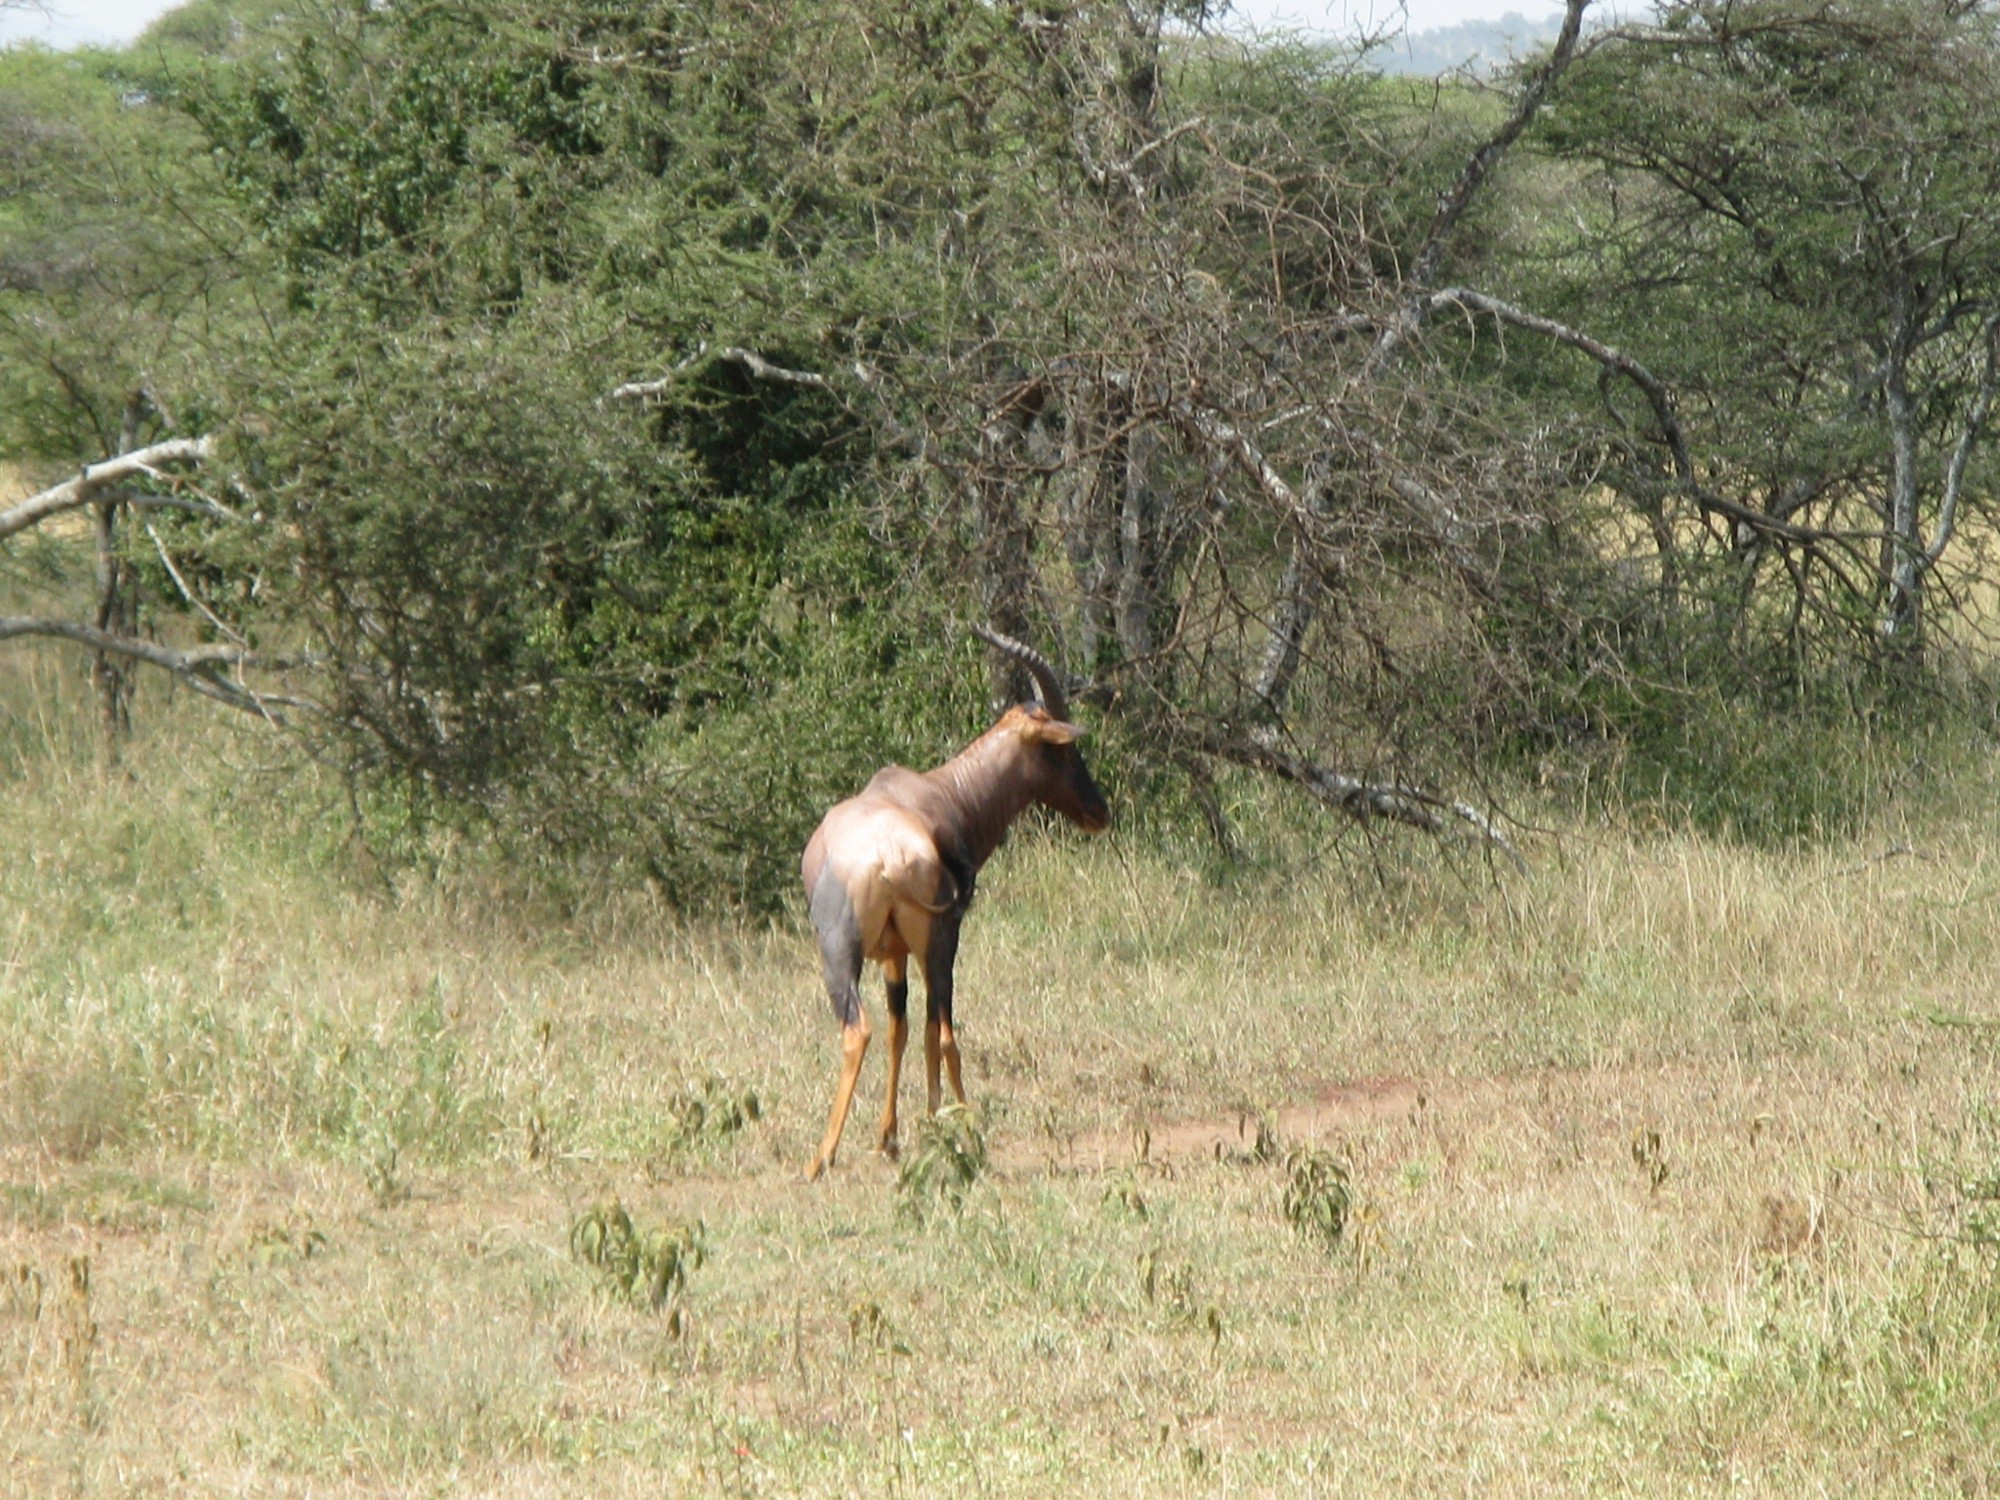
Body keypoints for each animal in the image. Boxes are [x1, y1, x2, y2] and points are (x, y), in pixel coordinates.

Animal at [796, 628, 1112, 1184]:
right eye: (1064, 748)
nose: (1100, 812)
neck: (934, 791)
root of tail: (889, 856)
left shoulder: (896, 953)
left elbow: (901, 1030)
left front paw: (891, 1138)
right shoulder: (927, 942)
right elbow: (918, 1030)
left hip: (863, 951)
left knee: (881, 1030)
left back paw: (832, 1153)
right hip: (913, 944)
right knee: (925, 1031)